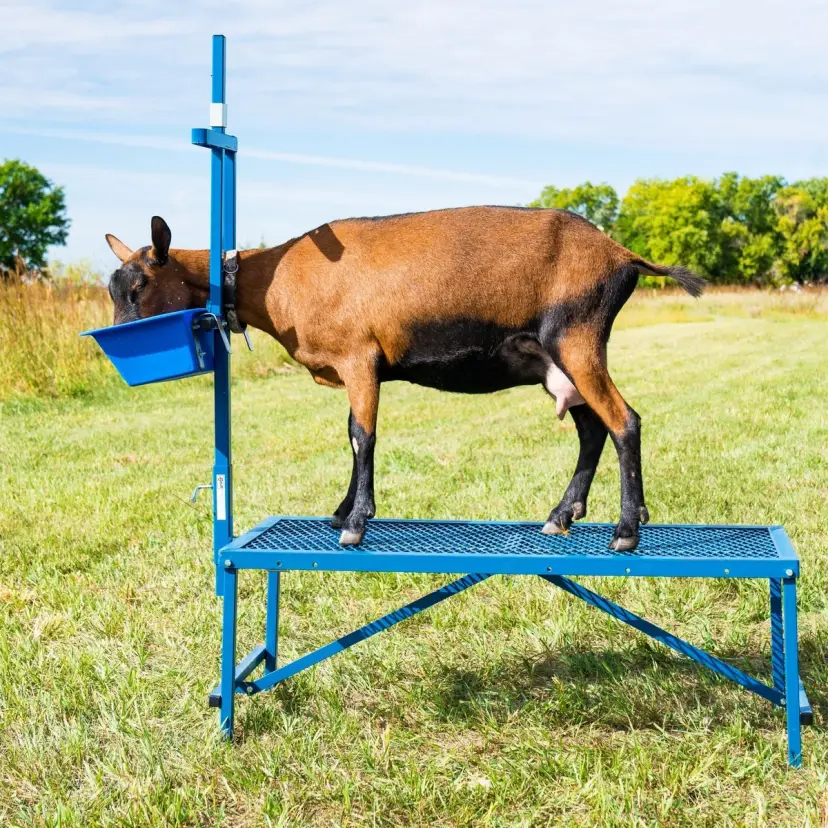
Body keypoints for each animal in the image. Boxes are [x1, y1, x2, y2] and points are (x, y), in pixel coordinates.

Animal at [104, 206, 704, 550]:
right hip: (556, 362)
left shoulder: (360, 358)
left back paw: (627, 529)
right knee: (592, 429)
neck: (278, 278)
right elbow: (350, 435)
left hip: (577, 339)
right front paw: (340, 512)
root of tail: (622, 254)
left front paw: (355, 522)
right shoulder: (355, 369)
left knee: (625, 422)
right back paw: (563, 515)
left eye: (138, 288)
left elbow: (362, 436)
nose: (117, 342)